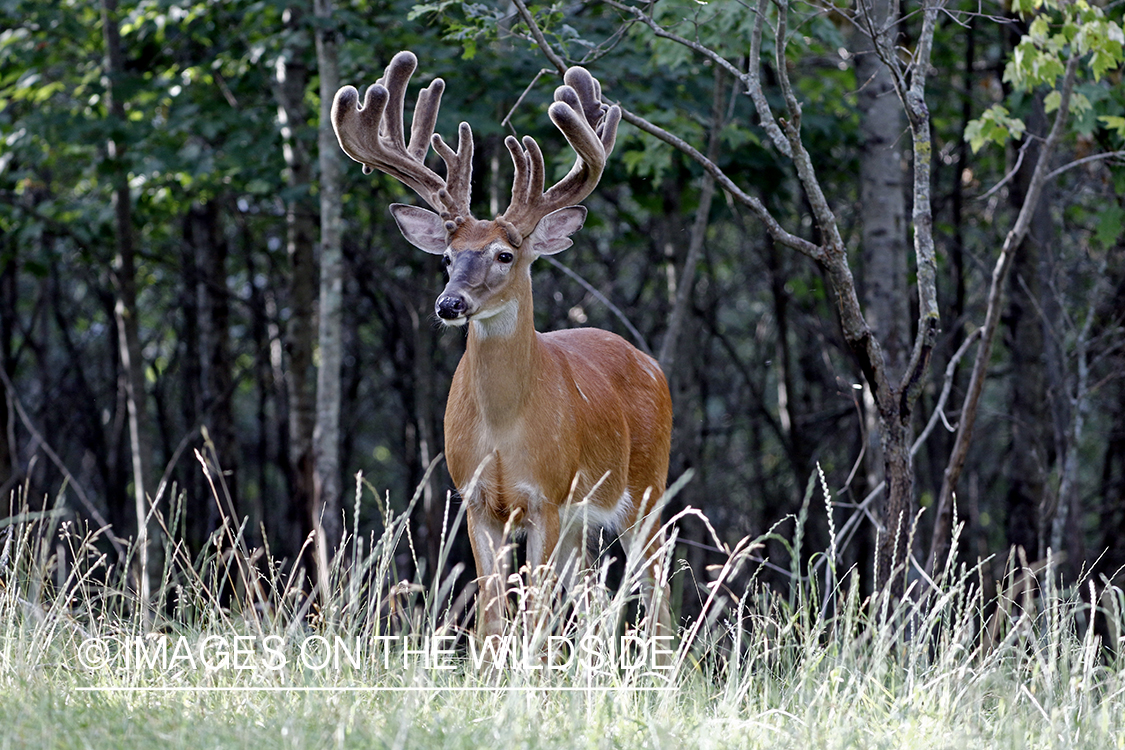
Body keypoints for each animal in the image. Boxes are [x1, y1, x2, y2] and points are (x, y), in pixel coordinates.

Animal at [328, 51, 670, 647]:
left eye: (505, 255)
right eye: (447, 257)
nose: (450, 303)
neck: (506, 428)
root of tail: (649, 362)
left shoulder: (547, 496)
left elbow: (533, 614)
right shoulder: (476, 498)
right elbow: (491, 615)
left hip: (647, 488)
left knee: (656, 596)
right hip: (585, 519)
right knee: (596, 603)